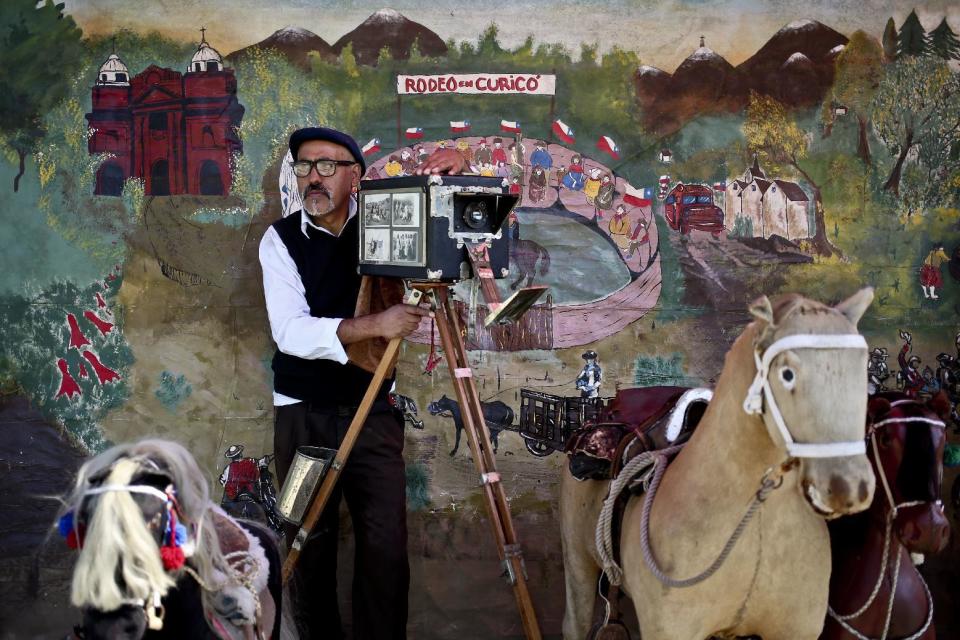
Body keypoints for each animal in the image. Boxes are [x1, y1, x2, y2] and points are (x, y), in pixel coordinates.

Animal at [560, 292, 880, 640]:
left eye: (861, 367)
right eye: (787, 374)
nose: (849, 486)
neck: (755, 519)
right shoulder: (670, 630)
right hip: (578, 563)